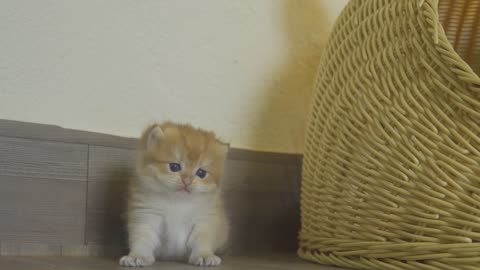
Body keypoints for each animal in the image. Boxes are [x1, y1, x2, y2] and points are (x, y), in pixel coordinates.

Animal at [122, 122, 231, 268]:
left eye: (201, 173)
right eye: (174, 167)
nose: (187, 181)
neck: (178, 201)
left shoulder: (204, 219)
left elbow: (202, 239)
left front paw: (204, 255)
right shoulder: (147, 215)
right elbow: (142, 238)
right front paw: (137, 256)